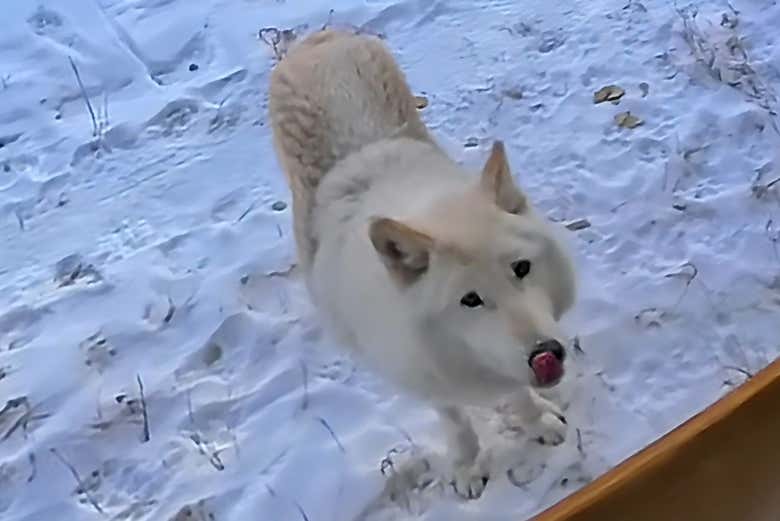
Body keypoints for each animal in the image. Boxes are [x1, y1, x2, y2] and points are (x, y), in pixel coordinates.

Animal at [268, 29, 577, 499]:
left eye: (521, 269)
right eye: (470, 300)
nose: (546, 353)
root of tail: (309, 40)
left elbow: (518, 394)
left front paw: (537, 422)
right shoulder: (419, 373)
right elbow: (455, 420)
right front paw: (468, 467)